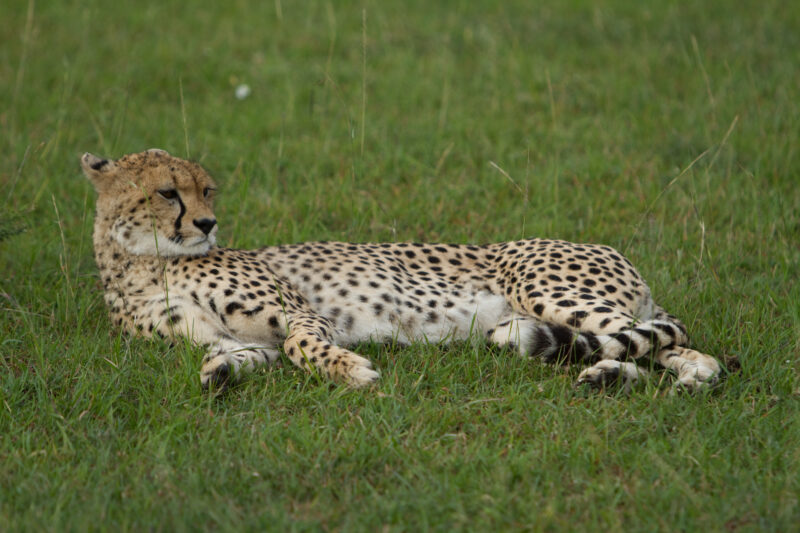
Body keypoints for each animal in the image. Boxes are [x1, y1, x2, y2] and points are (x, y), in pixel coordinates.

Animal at [80, 149, 722, 393]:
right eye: (168, 192)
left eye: (206, 190)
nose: (208, 223)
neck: (142, 264)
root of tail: (614, 253)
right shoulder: (234, 339)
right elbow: (236, 357)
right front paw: (219, 375)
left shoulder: (298, 313)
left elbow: (303, 347)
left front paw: (351, 371)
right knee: (660, 350)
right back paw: (622, 377)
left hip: (543, 289)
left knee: (677, 340)